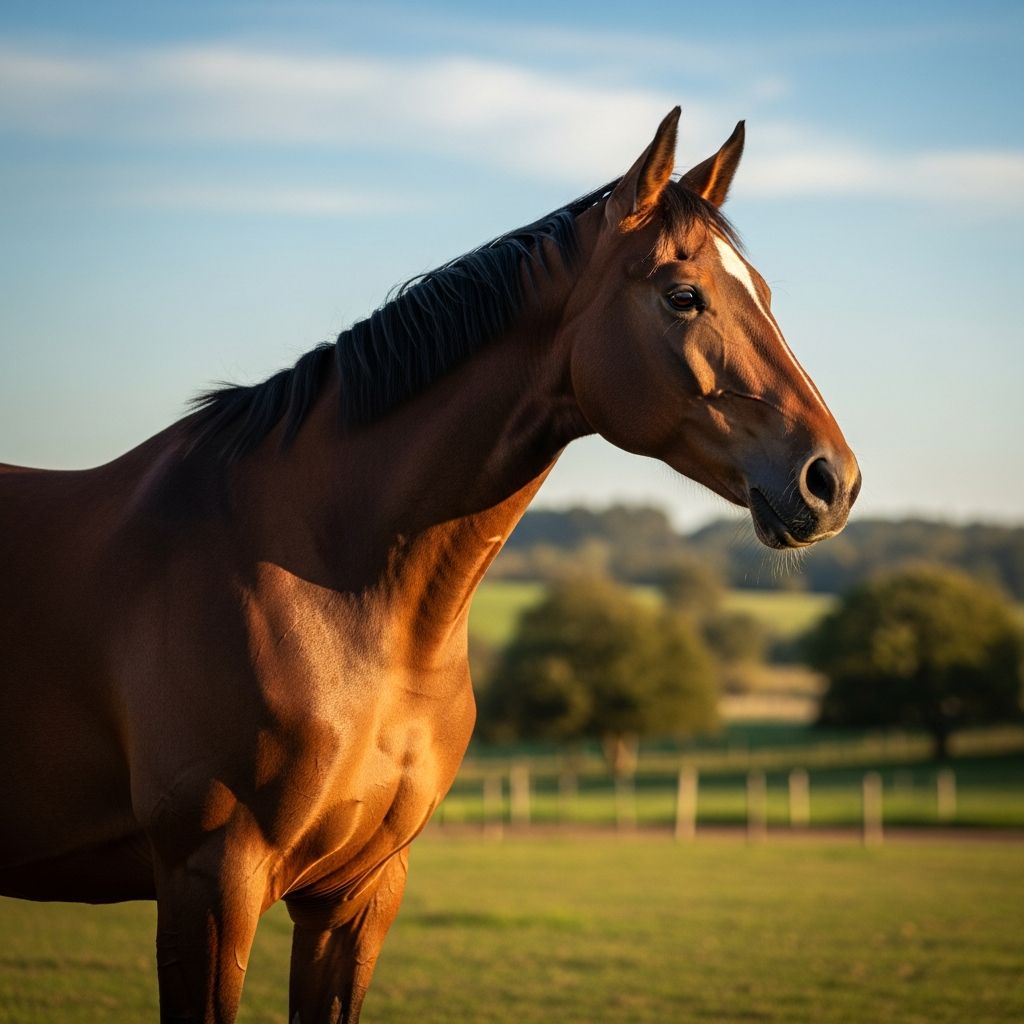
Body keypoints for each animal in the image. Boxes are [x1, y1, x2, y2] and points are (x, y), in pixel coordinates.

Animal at [0, 108, 860, 1023]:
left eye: (762, 293)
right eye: (683, 295)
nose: (831, 480)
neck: (326, 586)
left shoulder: (358, 893)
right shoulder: (209, 884)